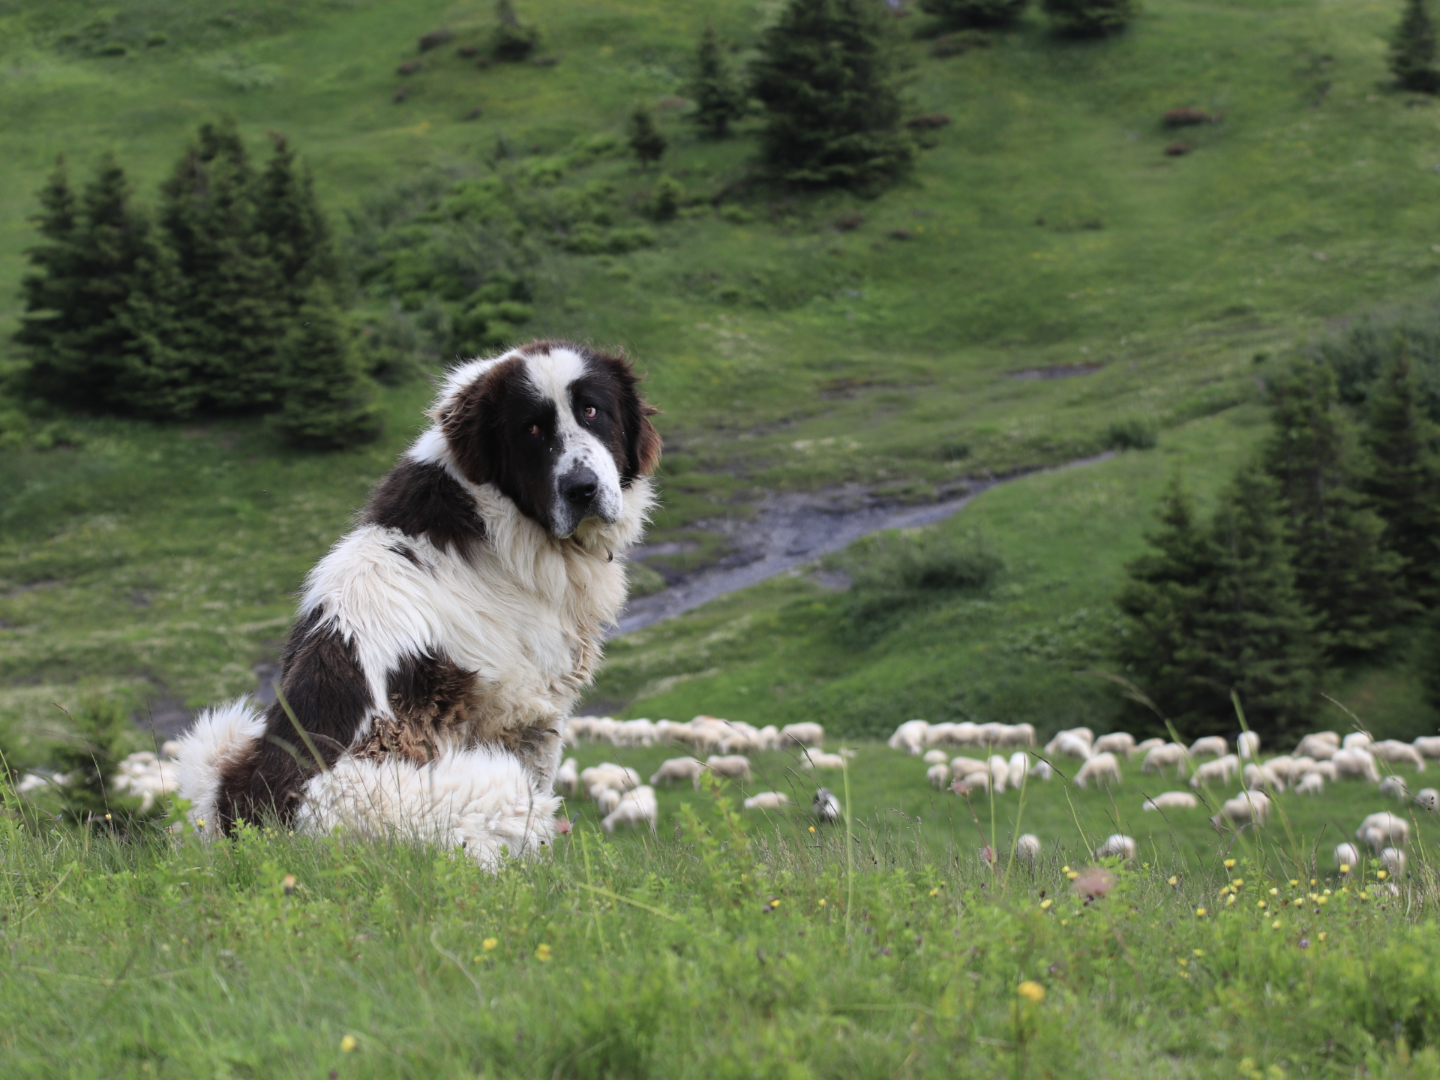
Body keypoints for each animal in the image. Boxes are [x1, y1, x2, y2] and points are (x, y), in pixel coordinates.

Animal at [175, 342, 662, 869]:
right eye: (532, 430)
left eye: (592, 411)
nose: (582, 489)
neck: (498, 512)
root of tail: (266, 816)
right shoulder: (530, 713)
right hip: (479, 790)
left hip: (215, 741)